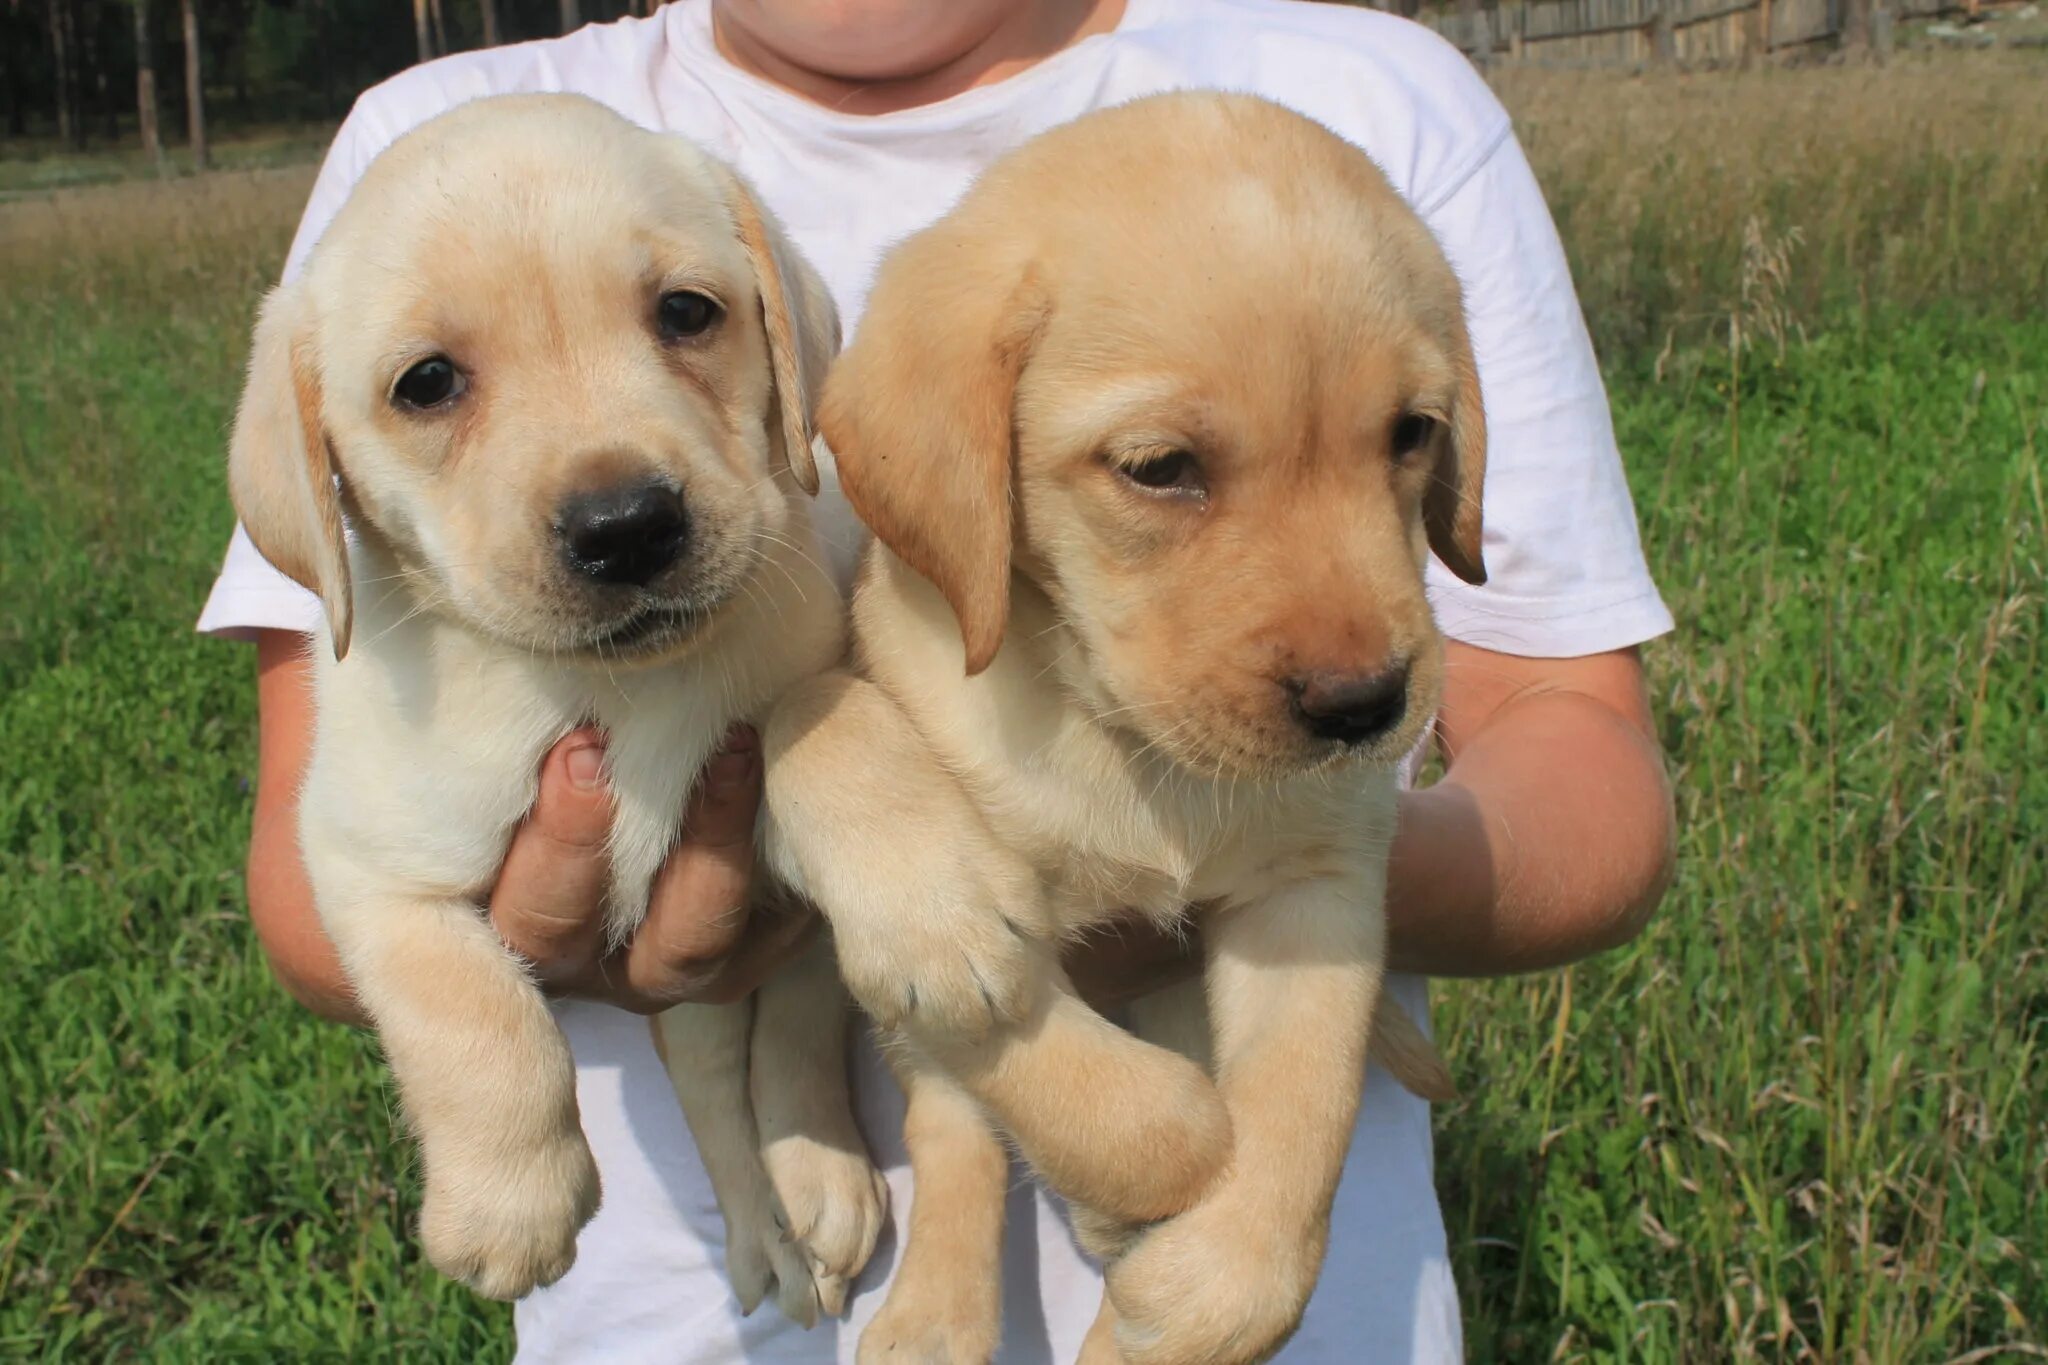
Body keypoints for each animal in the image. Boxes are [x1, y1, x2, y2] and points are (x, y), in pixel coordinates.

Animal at [228, 93, 884, 1309]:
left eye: (686, 313)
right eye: (427, 383)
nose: (625, 526)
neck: (611, 689)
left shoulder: (786, 897)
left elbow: (803, 1017)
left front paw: (818, 1166)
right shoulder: (364, 864)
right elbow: (474, 1012)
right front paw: (510, 1207)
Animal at [761, 96, 1482, 1365]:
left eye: (1410, 433)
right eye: (1157, 469)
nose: (1364, 708)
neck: (1125, 745)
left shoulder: (1317, 889)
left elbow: (1302, 1107)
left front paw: (1193, 1299)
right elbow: (1082, 1098)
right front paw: (1164, 1147)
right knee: (950, 1140)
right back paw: (937, 1316)